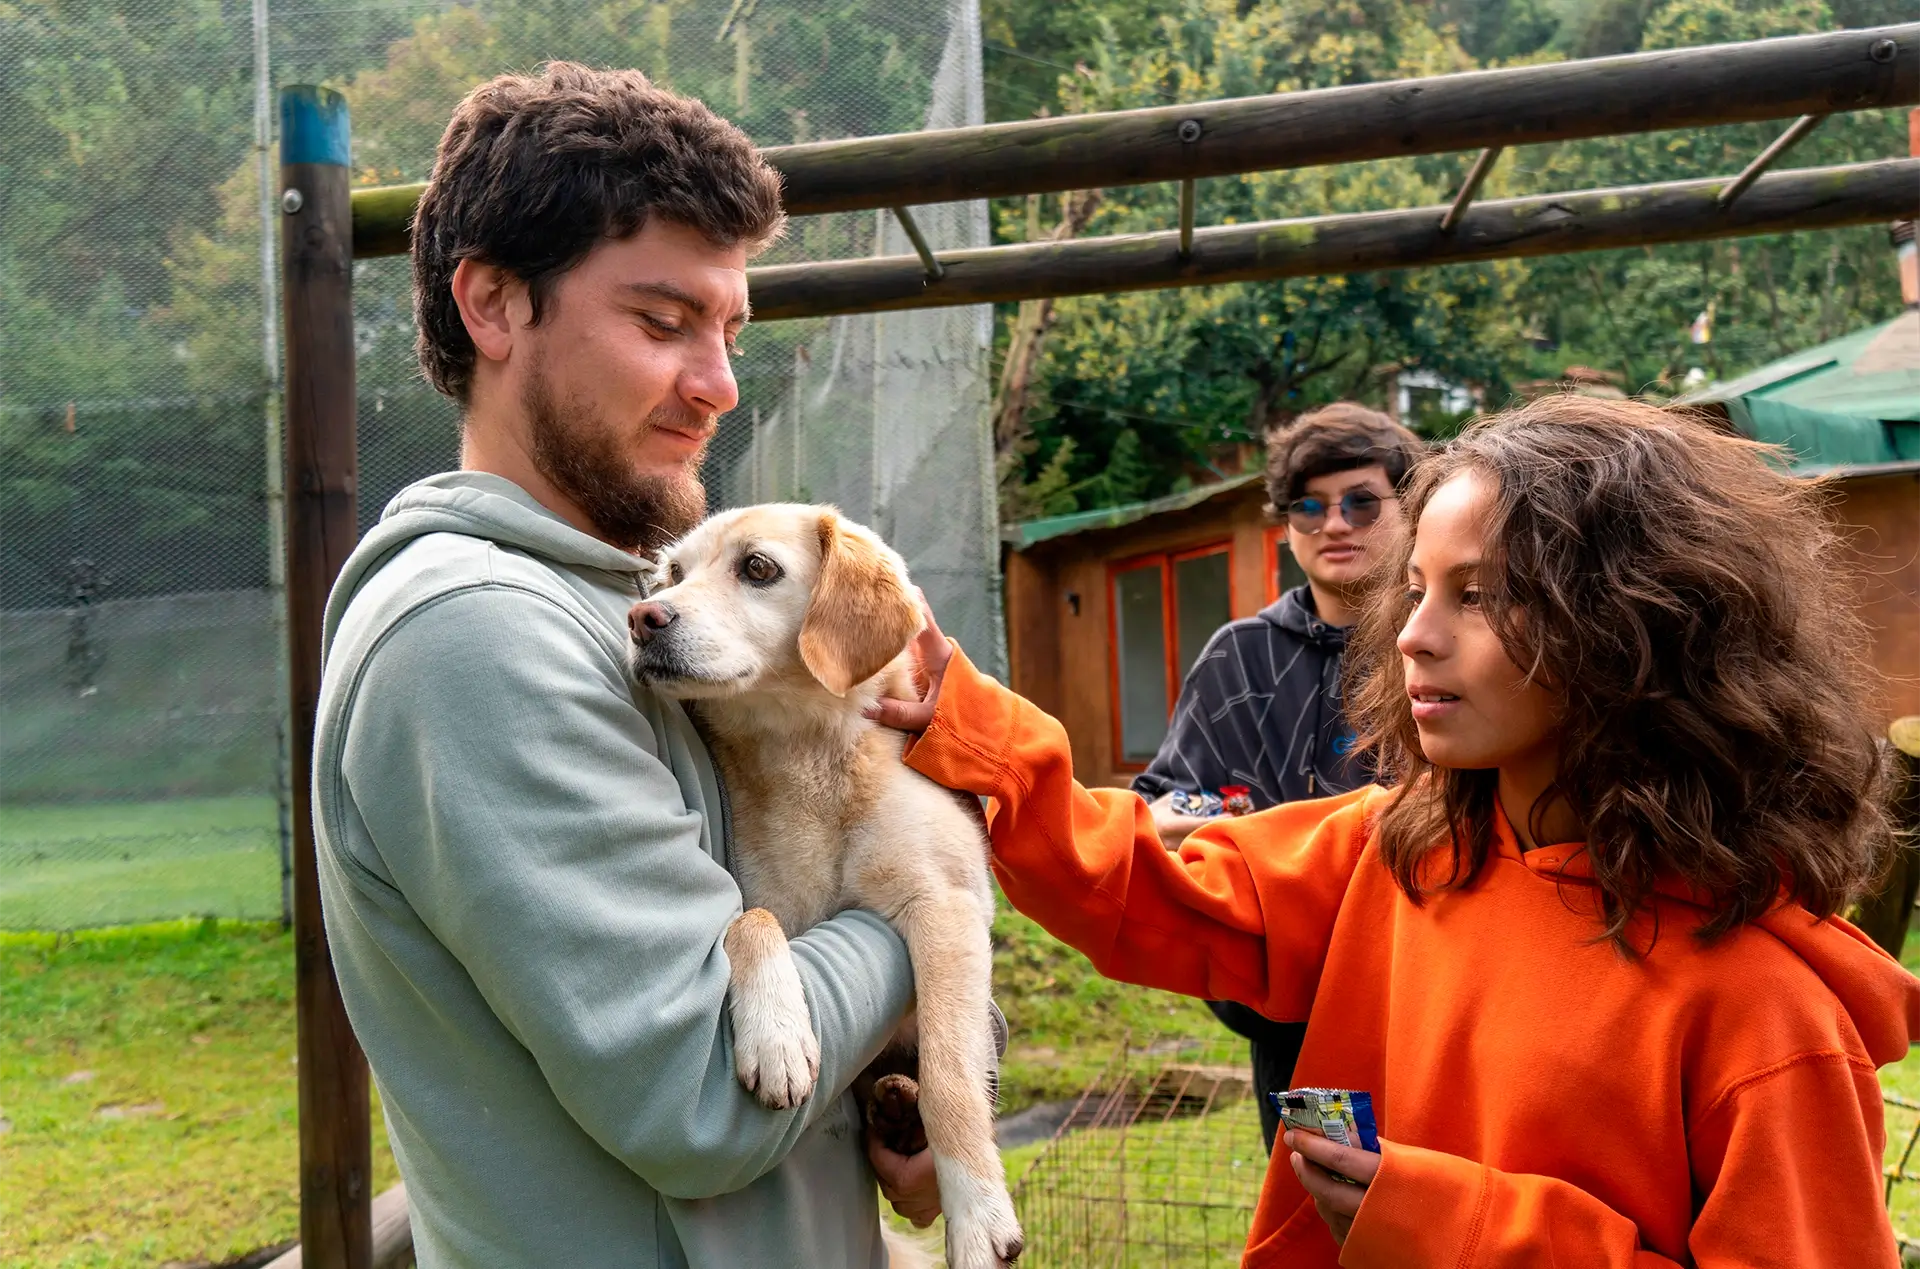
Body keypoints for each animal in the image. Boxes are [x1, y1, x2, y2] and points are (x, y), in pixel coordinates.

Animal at [625, 502, 1021, 1267]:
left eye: (757, 568)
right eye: (673, 573)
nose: (641, 617)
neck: (802, 751)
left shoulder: (947, 903)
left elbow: (952, 1083)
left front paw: (978, 1216)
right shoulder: (762, 898)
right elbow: (750, 923)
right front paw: (776, 1037)